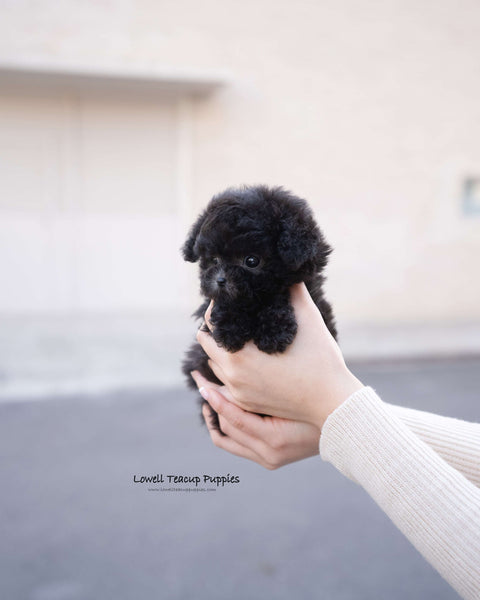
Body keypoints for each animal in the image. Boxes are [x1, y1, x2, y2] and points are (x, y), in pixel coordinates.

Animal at [181, 183, 338, 432]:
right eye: (214, 260)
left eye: (252, 261)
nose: (220, 280)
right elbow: (224, 304)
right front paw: (231, 328)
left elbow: (277, 297)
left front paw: (274, 331)